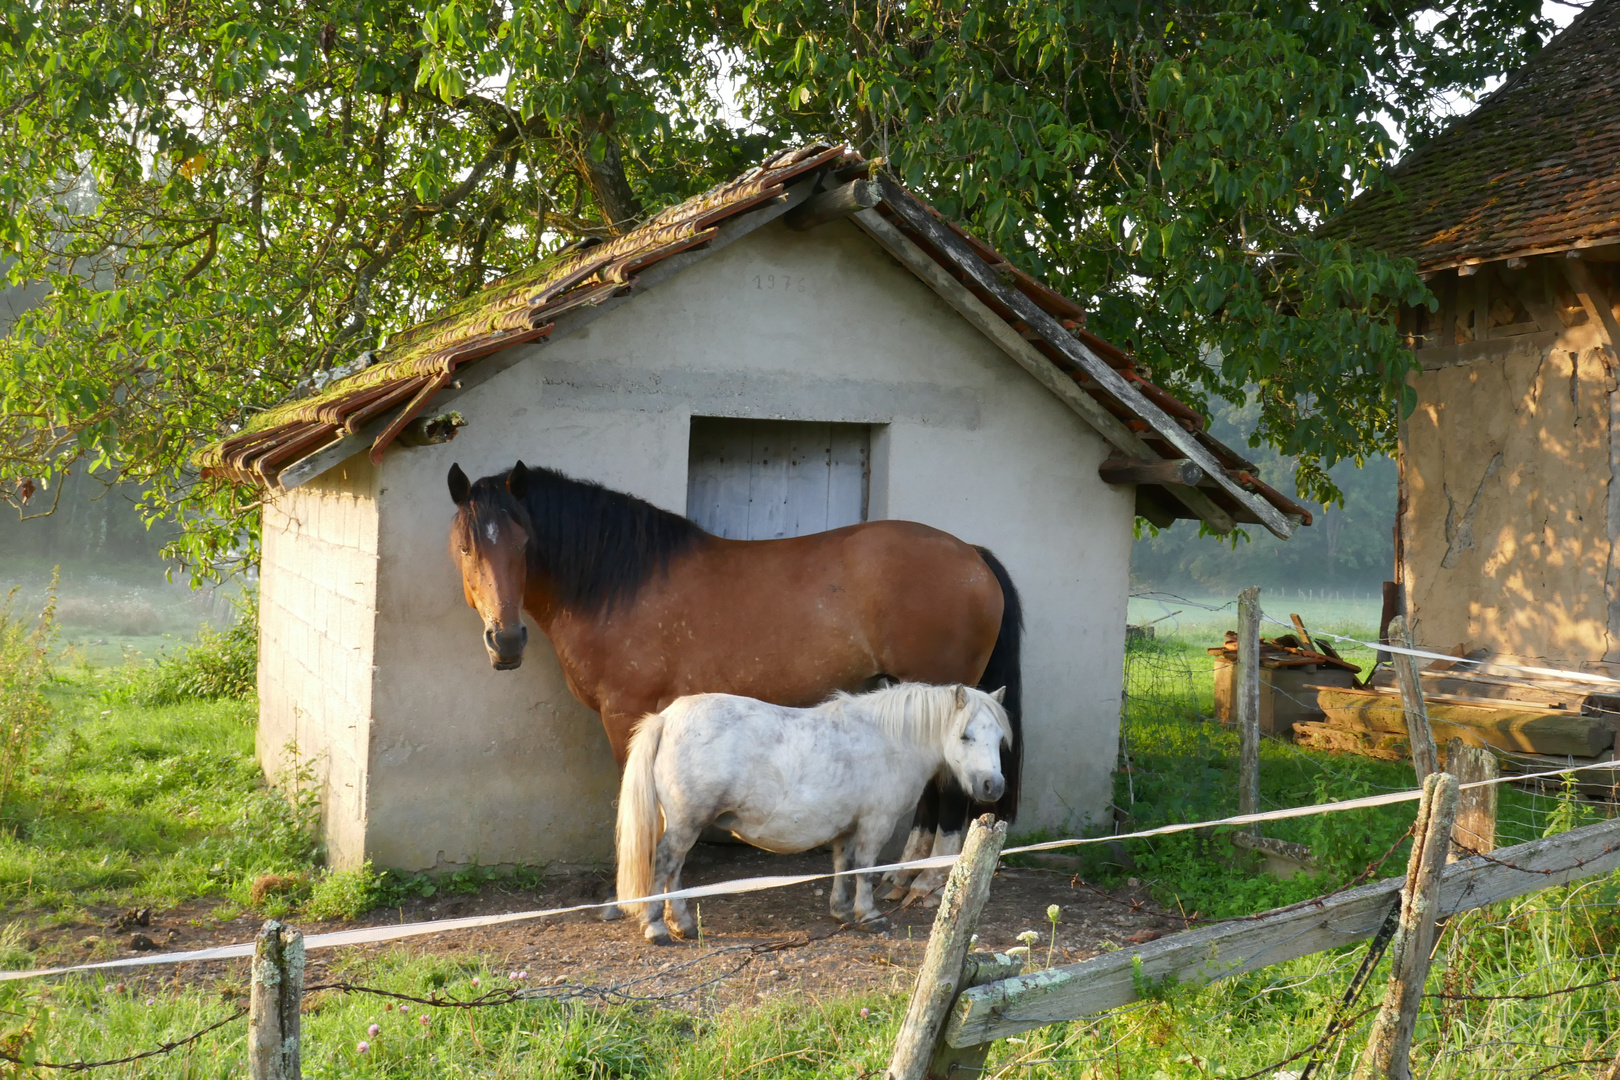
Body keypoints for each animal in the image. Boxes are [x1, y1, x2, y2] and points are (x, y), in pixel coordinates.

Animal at [447, 459, 1023, 906]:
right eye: (466, 547)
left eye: (524, 542)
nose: (506, 640)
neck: (616, 583)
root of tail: (971, 555)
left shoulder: (626, 714)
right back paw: (900, 879)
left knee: (951, 793)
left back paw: (927, 885)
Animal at [612, 689, 1004, 939]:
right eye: (965, 736)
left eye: (1000, 738)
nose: (993, 786)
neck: (889, 740)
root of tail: (665, 718)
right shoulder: (876, 822)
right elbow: (865, 868)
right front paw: (869, 915)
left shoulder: (848, 826)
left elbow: (845, 865)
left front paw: (842, 910)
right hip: (687, 822)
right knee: (665, 863)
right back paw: (656, 927)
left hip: (683, 822)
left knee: (674, 869)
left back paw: (682, 923)